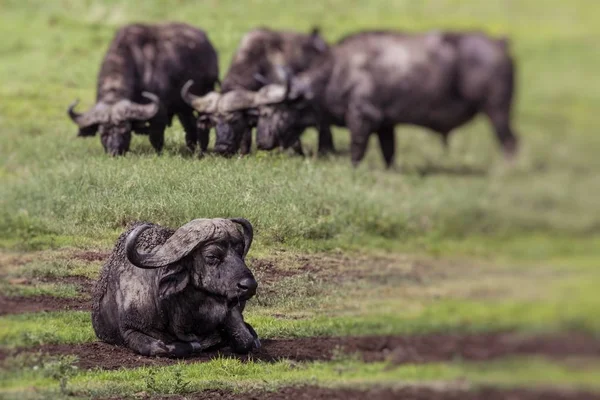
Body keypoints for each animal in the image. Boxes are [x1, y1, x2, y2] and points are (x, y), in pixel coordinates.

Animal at [68, 21, 218, 156]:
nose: (115, 151)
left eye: (125, 132)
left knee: (202, 124)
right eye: (103, 133)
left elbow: (155, 138)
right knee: (190, 126)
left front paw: (159, 154)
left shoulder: (159, 114)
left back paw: (201, 152)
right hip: (183, 106)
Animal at [92, 217, 258, 358]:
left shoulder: (231, 311)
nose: (249, 285)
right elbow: (160, 348)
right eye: (212, 256)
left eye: (240, 252)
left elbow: (246, 340)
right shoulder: (130, 329)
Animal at [251, 30, 516, 166]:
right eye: (259, 112)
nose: (261, 142)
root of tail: (499, 43)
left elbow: (357, 153)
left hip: (498, 112)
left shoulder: (361, 120)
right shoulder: (386, 126)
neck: (337, 73)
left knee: (510, 143)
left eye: (273, 111)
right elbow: (389, 154)